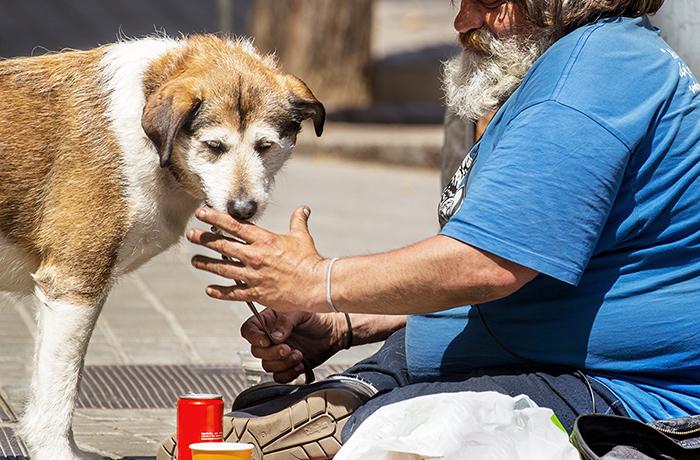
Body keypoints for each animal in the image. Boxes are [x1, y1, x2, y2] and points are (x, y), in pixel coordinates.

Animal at [0, 34, 324, 458]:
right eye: (214, 146)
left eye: (265, 146)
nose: (242, 209)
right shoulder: (72, 284)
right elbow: (60, 386)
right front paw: (56, 450)